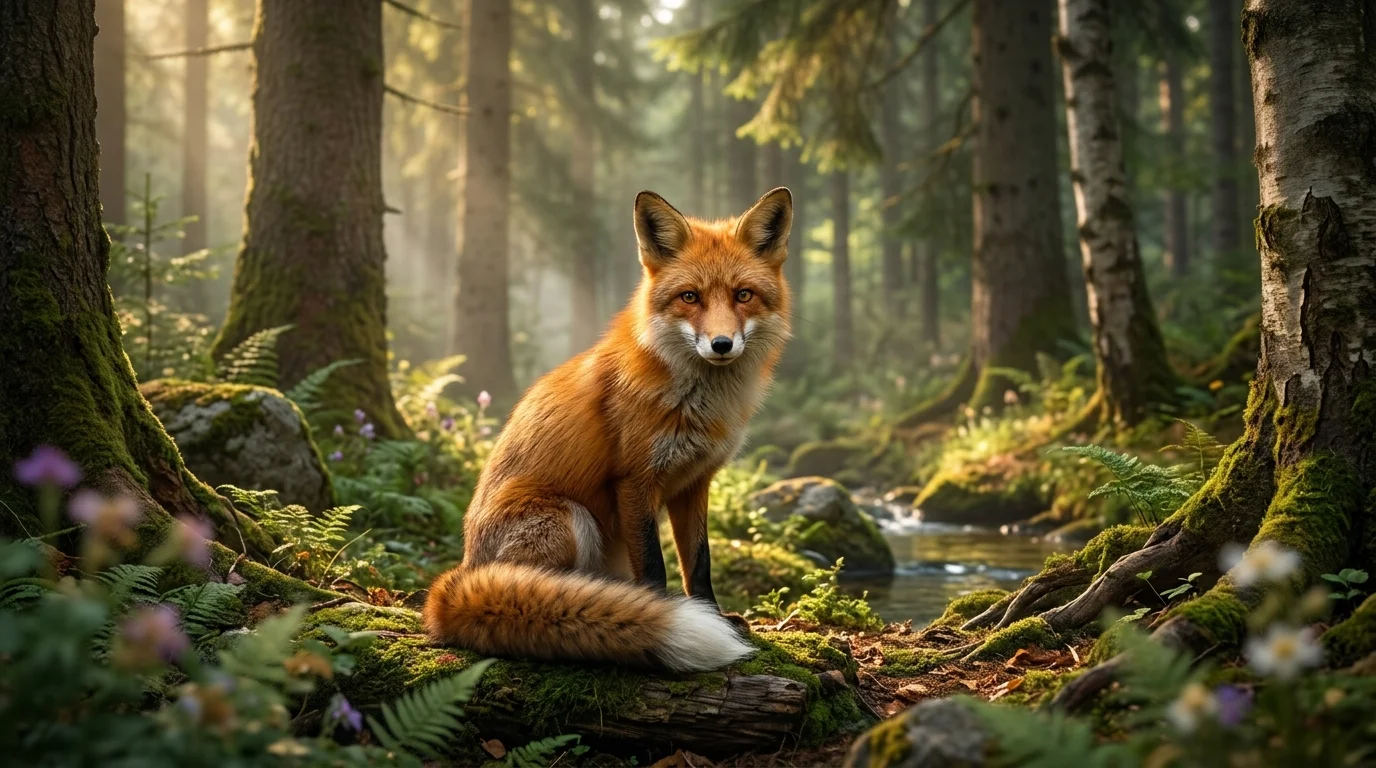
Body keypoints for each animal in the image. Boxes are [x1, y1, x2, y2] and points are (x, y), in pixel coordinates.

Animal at [423, 187, 793, 672]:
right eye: (690, 297)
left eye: (743, 295)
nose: (721, 345)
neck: (697, 403)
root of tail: (457, 577)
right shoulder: (634, 480)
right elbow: (655, 565)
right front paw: (660, 612)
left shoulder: (694, 483)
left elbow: (699, 563)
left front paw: (713, 616)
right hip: (570, 519)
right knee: (541, 586)